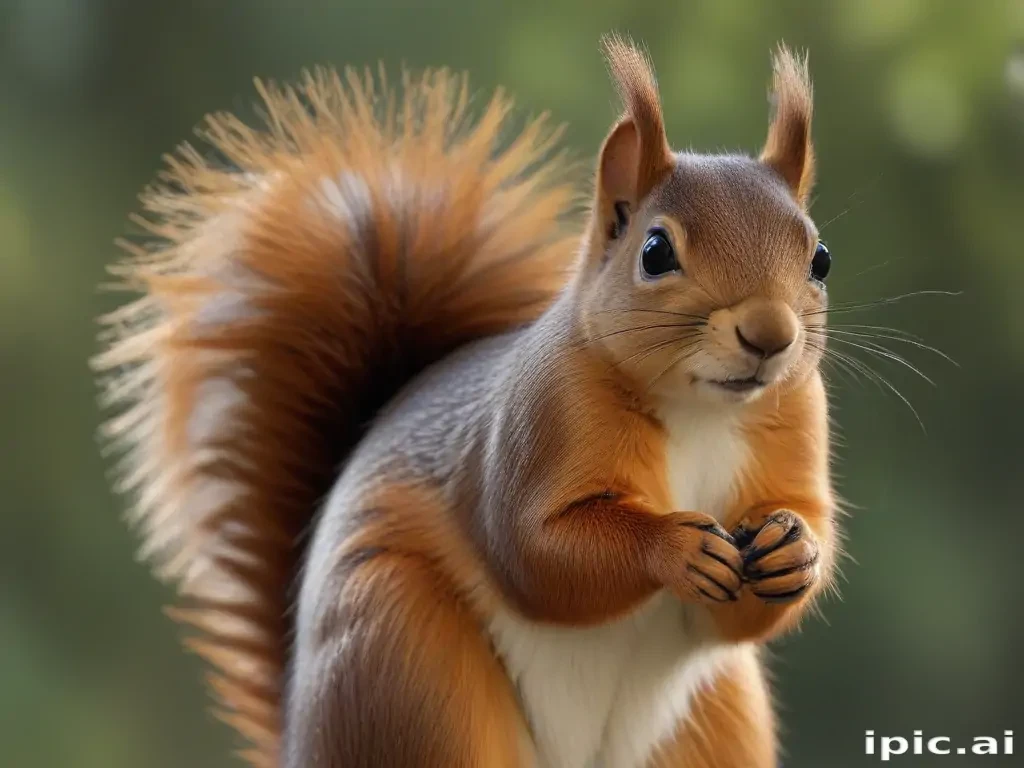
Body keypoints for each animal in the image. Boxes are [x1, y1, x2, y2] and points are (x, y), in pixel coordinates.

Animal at [96, 34, 837, 768]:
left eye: (820, 257)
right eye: (655, 251)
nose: (769, 335)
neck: (700, 412)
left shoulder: (797, 423)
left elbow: (756, 588)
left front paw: (794, 549)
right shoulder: (542, 420)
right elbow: (537, 550)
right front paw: (674, 546)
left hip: (711, 722)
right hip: (408, 668)